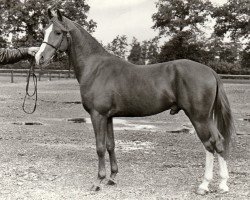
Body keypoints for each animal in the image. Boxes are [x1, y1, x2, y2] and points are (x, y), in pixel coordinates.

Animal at [34, 9, 234, 195]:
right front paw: (112, 177)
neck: (95, 67)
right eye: (44, 31)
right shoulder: (108, 117)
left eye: (58, 32)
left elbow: (100, 147)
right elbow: (110, 145)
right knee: (219, 141)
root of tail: (210, 71)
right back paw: (223, 184)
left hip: (199, 117)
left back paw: (204, 185)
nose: (39, 58)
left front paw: (98, 181)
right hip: (206, 117)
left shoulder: (97, 115)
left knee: (210, 144)